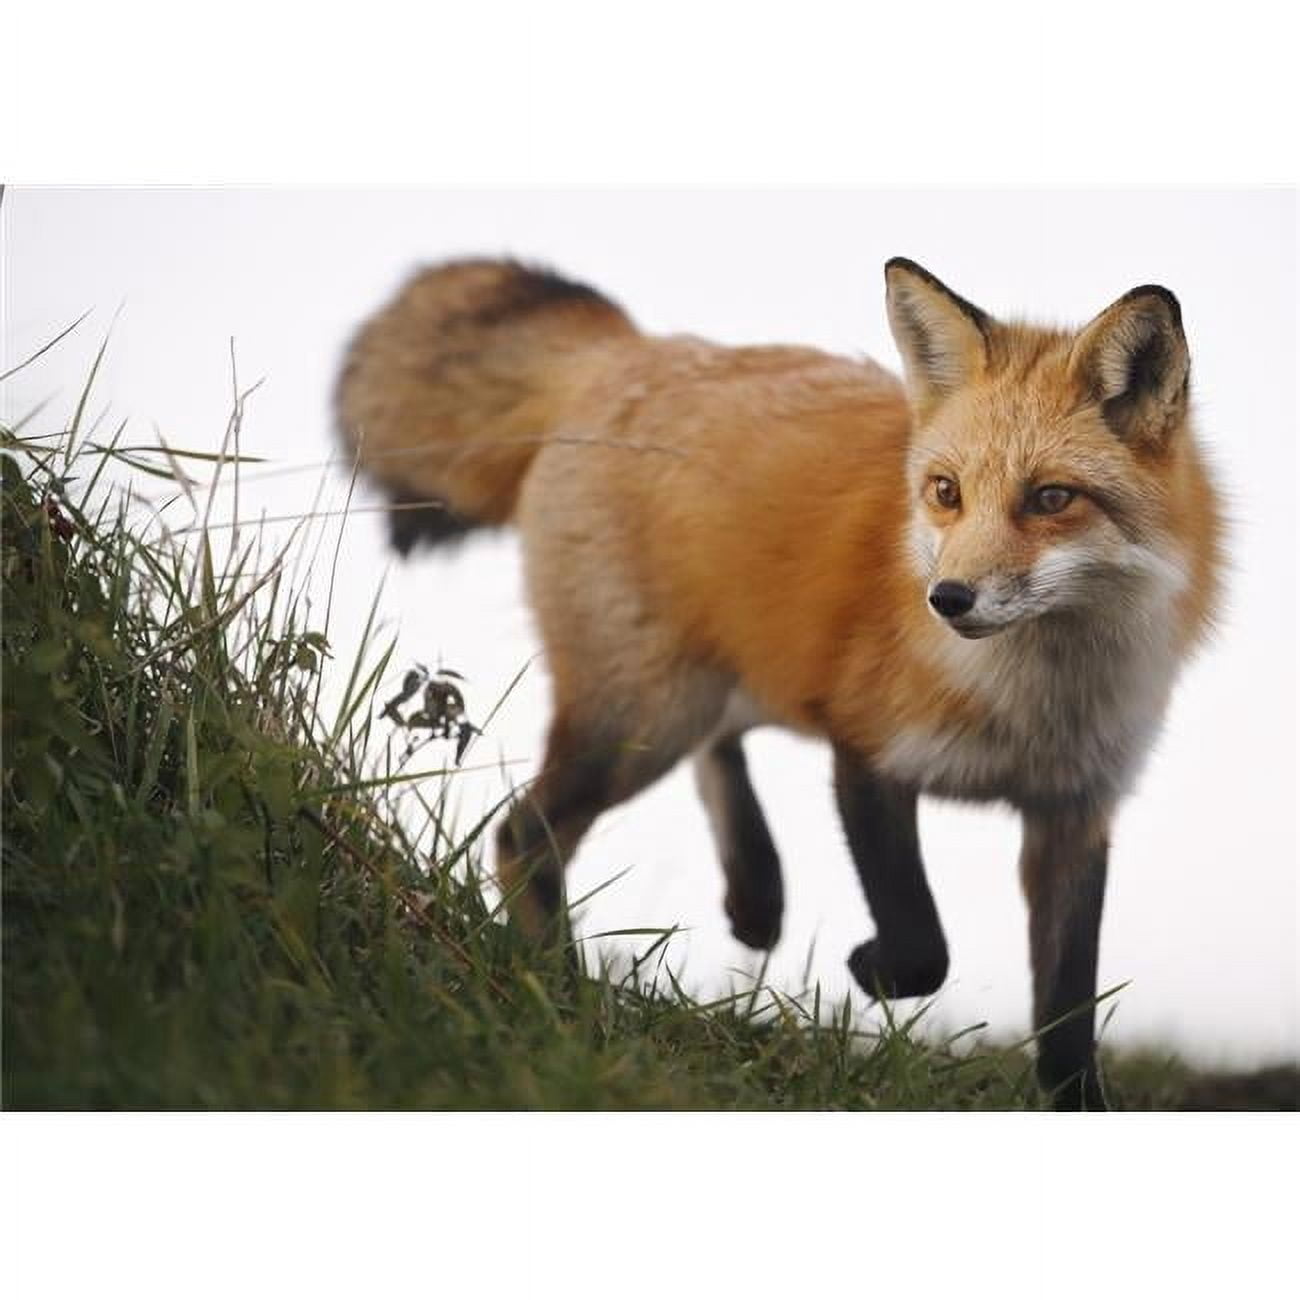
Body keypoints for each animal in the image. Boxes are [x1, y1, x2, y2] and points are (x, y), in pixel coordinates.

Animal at [335, 254, 1224, 1109]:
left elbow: (1068, 1010)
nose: (947, 599)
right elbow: (922, 946)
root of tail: (629, 349)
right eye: (946, 493)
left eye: (1051, 498)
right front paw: (872, 969)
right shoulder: (866, 749)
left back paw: (754, 895)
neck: (1033, 703)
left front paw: (1078, 1106)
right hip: (642, 717)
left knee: (716, 749)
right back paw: (557, 989)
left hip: (708, 688)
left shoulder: (1074, 810)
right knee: (524, 835)